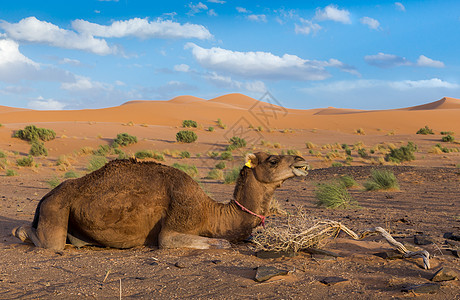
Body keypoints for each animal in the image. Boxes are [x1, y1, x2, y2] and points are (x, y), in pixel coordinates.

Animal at [12, 152, 310, 251]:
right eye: (273, 160)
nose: (302, 161)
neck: (210, 211)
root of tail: (45, 197)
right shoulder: (174, 226)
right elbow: (222, 242)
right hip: (56, 208)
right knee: (45, 241)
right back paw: (21, 231)